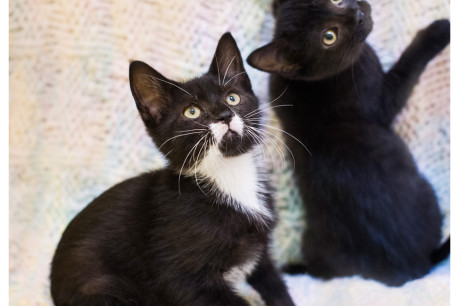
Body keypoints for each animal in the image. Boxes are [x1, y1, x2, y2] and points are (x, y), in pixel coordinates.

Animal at [50, 33, 294, 306]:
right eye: (192, 111)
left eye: (233, 97)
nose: (224, 115)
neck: (228, 176)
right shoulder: (182, 277)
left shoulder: (260, 251)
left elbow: (274, 284)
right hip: (102, 286)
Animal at [248, 0, 450, 286]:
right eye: (329, 37)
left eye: (335, 1)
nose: (358, 14)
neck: (312, 81)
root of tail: (409, 268)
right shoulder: (380, 98)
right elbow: (407, 66)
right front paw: (439, 30)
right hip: (427, 194)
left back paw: (292, 269)